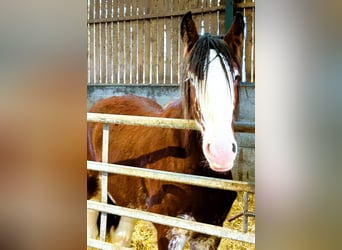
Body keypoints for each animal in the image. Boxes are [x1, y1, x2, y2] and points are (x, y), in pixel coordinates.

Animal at [87, 10, 244, 249]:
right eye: (191, 79)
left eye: (236, 77)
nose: (221, 153)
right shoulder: (170, 232)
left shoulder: (209, 233)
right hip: (92, 193)